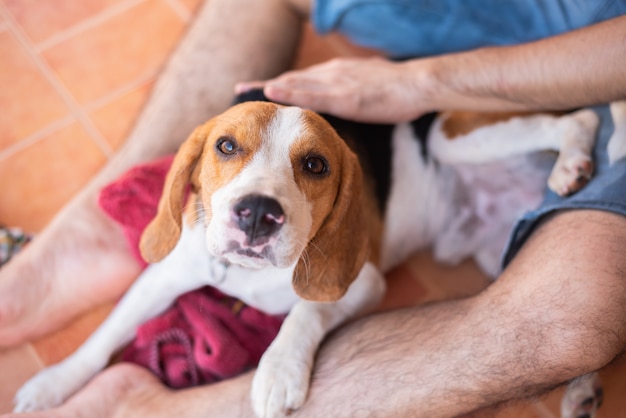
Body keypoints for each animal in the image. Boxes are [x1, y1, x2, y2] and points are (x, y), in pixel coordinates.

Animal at [13, 92, 620, 418]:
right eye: (225, 146)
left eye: (316, 165)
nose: (258, 213)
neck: (248, 275)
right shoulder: (168, 274)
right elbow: (105, 337)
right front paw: (54, 385)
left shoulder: (361, 284)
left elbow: (305, 311)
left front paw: (279, 369)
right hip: (499, 249)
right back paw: (583, 388)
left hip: (455, 135)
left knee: (581, 120)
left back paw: (573, 160)